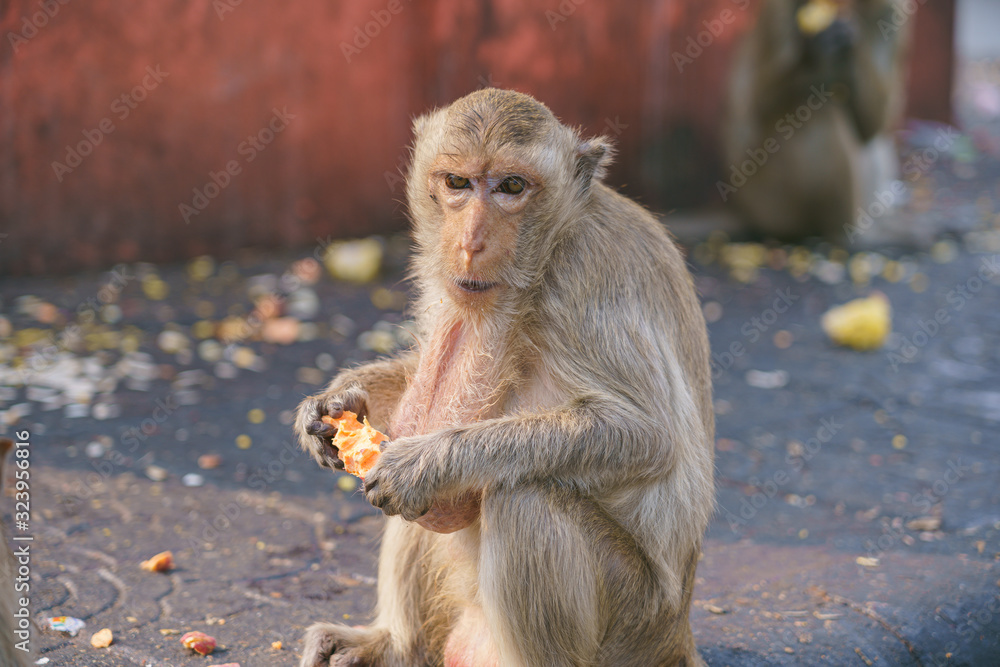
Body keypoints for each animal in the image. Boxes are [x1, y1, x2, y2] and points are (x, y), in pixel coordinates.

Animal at [295, 88, 715, 667]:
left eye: (512, 187)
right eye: (457, 183)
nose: (470, 242)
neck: (544, 254)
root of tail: (678, 635)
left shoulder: (582, 280)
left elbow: (646, 434)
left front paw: (427, 462)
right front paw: (332, 405)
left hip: (634, 619)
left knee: (524, 498)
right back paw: (393, 646)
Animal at [722, 0, 911, 243]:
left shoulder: (888, 11)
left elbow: (872, 125)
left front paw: (846, 53)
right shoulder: (778, 10)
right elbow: (757, 103)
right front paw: (817, 53)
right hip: (768, 201)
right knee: (820, 115)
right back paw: (840, 232)